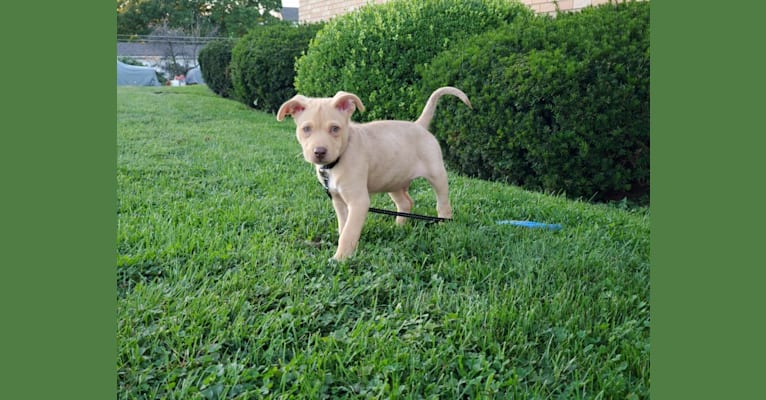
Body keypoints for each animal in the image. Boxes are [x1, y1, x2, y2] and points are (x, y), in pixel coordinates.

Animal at [272, 86, 472, 260]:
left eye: (335, 129)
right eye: (306, 129)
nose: (319, 152)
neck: (338, 160)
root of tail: (419, 125)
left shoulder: (359, 201)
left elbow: (349, 232)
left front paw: (340, 259)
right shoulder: (338, 201)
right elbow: (343, 228)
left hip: (437, 174)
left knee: (443, 204)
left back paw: (443, 227)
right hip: (393, 179)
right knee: (406, 203)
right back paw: (399, 228)